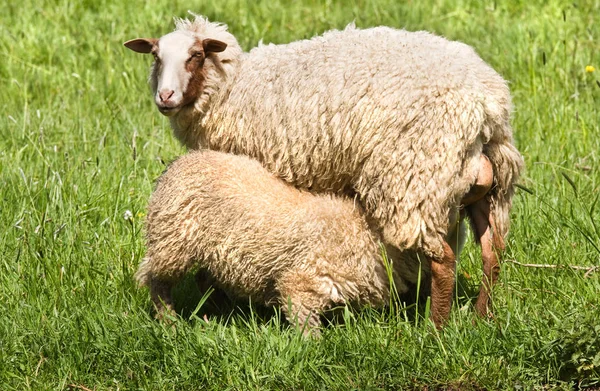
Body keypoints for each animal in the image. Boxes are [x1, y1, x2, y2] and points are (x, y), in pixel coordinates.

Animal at [137, 149, 426, 334]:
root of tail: (177, 163)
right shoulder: (301, 280)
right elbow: (306, 325)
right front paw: (312, 351)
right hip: (172, 239)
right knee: (154, 278)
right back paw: (169, 322)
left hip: (210, 250)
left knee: (203, 277)